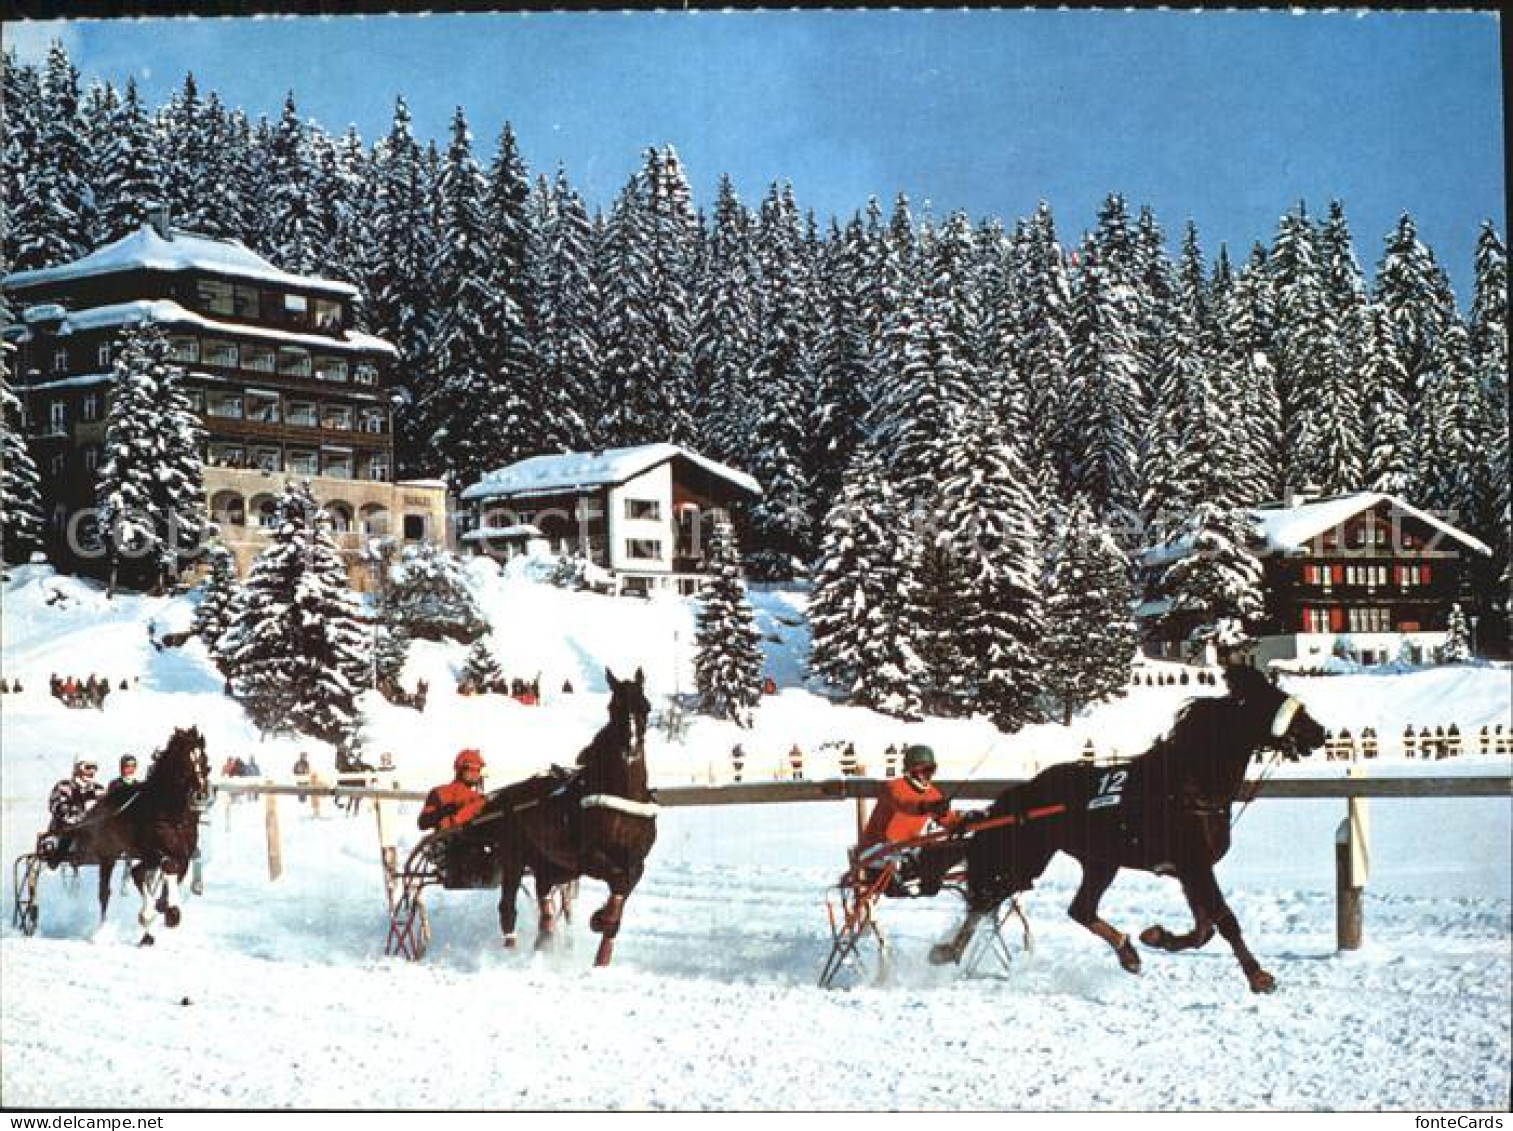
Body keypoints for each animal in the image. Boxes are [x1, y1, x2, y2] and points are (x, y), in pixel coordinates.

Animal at [90, 725, 210, 943]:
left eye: (204, 758)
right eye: (185, 760)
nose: (200, 795)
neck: (172, 814)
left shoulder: (183, 854)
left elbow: (174, 874)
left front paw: (166, 910)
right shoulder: (155, 851)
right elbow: (162, 869)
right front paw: (166, 913)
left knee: (141, 873)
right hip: (109, 855)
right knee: (106, 891)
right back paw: (101, 931)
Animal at [493, 668, 659, 967]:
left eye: (646, 706)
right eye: (613, 707)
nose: (630, 748)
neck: (623, 798)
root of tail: (511, 793)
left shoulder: (636, 861)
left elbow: (624, 887)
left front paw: (603, 945)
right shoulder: (588, 857)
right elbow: (618, 880)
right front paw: (599, 919)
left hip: (554, 864)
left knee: (543, 893)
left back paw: (545, 939)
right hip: (515, 857)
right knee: (507, 906)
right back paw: (511, 952)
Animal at [932, 668, 1325, 991]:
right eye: (1269, 700)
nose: (1319, 732)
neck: (1187, 786)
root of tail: (1024, 791)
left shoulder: (1190, 869)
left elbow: (1204, 928)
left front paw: (1158, 936)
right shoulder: (1195, 864)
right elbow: (1224, 919)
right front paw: (1258, 975)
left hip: (1100, 861)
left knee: (1080, 909)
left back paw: (1127, 953)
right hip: (1027, 860)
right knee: (986, 902)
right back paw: (947, 951)